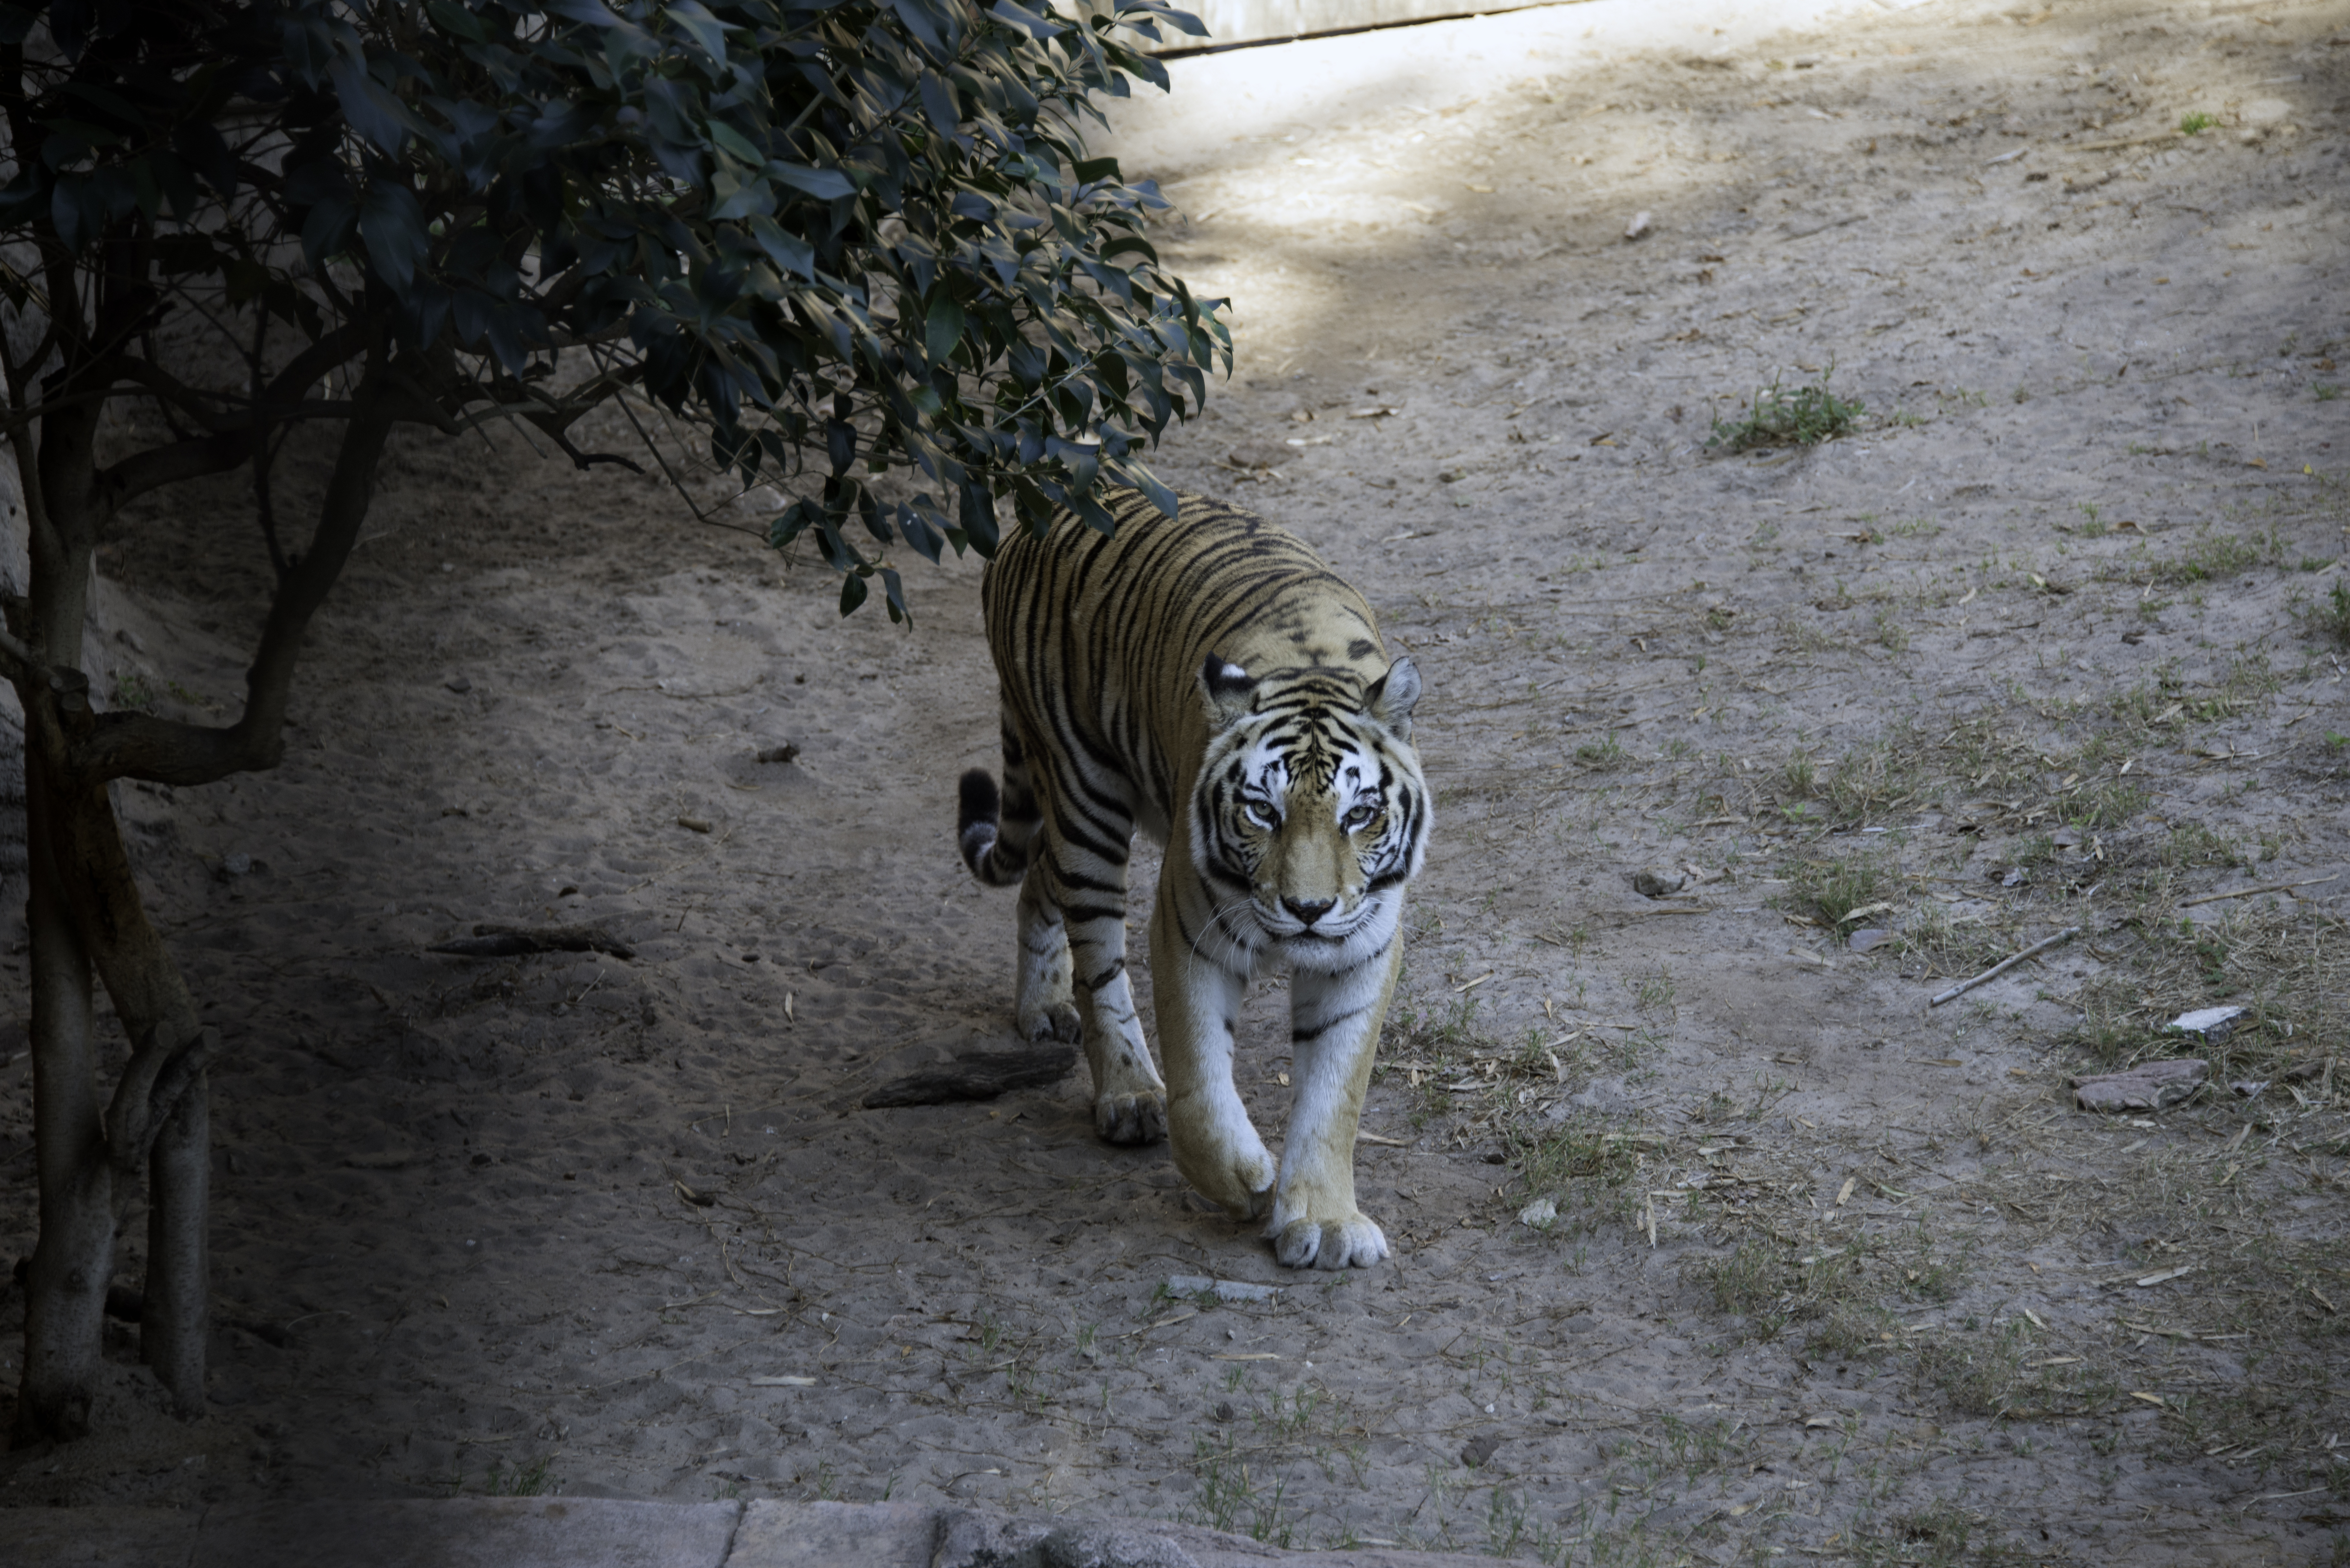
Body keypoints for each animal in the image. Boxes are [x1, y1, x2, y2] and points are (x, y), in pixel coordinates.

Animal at [954, 496, 1429, 1269]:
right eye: (1262, 810)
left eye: (1358, 814)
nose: (1308, 909)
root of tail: (1036, 508)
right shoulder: (1188, 930)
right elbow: (1200, 1082)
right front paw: (1243, 1180)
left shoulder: (1362, 950)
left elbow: (1335, 1096)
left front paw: (1324, 1222)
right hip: (1084, 793)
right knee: (1097, 958)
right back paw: (1128, 1093)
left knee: (1037, 879)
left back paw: (1043, 1007)